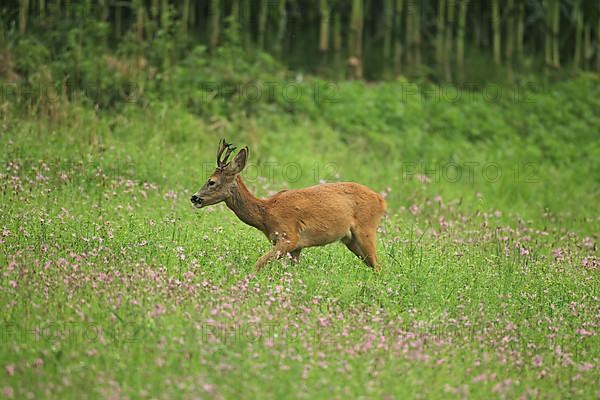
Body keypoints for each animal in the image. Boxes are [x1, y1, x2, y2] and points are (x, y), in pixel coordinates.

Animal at [192, 139, 390, 270]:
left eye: (211, 181)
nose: (194, 198)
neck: (265, 213)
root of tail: (382, 200)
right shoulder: (297, 247)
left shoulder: (289, 237)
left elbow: (258, 263)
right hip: (351, 240)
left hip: (366, 230)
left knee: (379, 266)